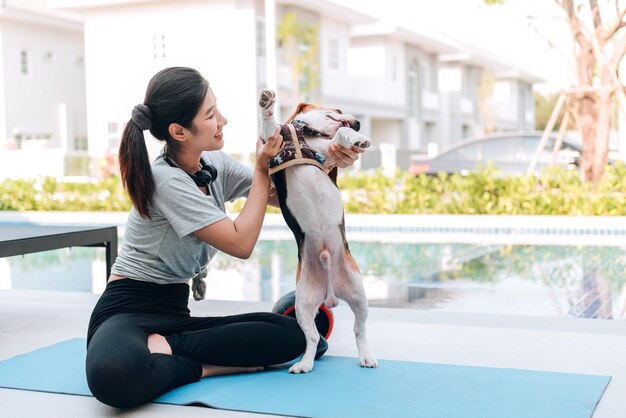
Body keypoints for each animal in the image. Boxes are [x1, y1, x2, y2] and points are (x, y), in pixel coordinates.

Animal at [258, 90, 378, 374]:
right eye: (338, 109)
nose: (358, 123)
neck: (305, 133)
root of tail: (330, 293)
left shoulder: (328, 154)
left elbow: (340, 136)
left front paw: (356, 139)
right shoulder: (271, 140)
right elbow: (269, 123)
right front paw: (267, 104)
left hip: (359, 295)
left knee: (359, 330)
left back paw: (366, 357)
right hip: (303, 304)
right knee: (311, 338)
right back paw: (304, 364)